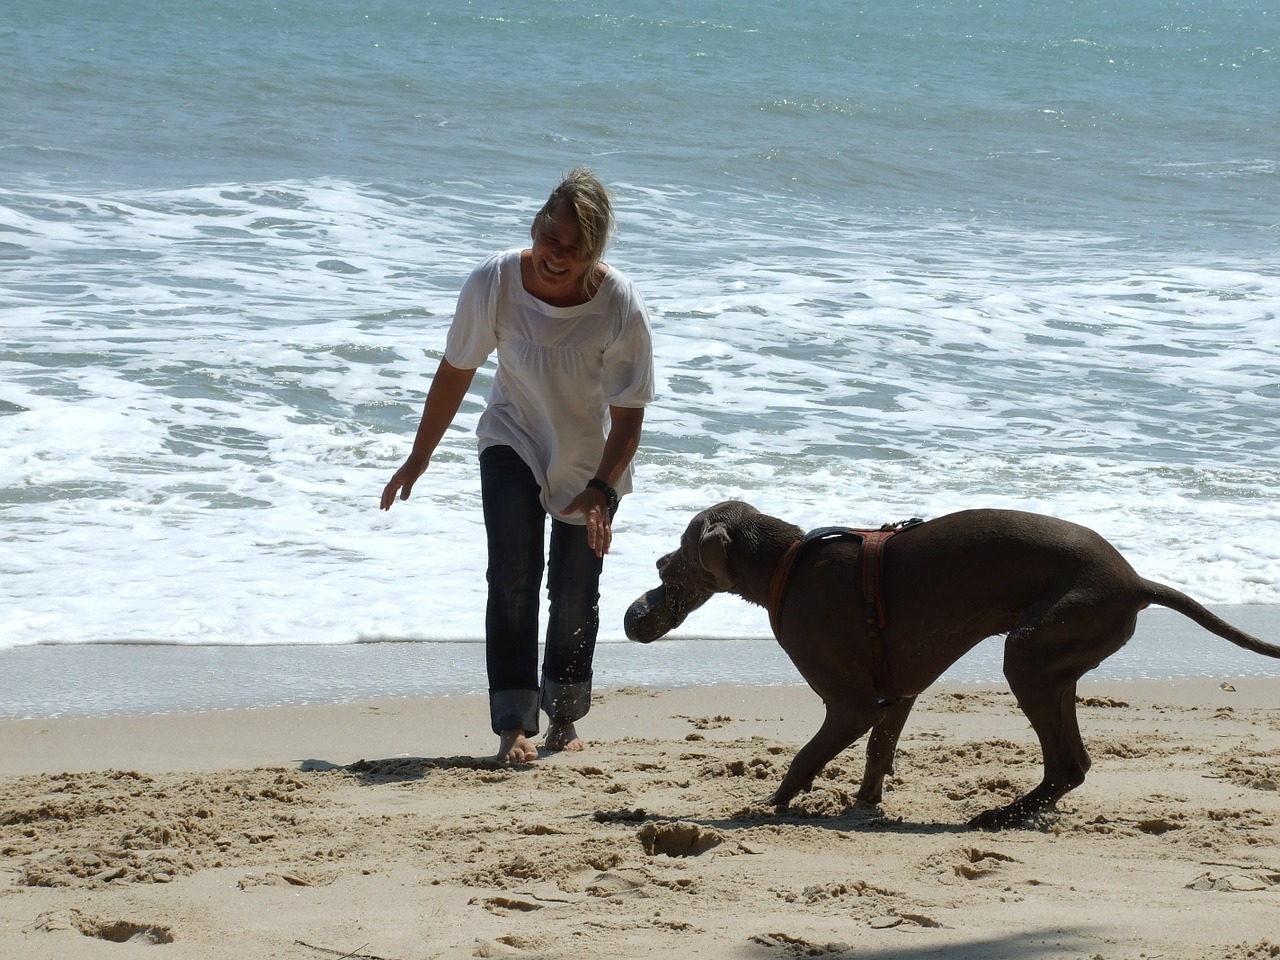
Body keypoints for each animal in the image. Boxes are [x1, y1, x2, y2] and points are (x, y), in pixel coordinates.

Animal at [622, 504, 1280, 829]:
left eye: (681, 547)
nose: (654, 564)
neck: (786, 562)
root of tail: (1136, 580)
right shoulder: (896, 693)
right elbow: (878, 753)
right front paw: (865, 804)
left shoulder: (853, 704)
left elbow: (807, 756)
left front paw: (775, 802)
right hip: (1053, 661)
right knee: (1074, 764)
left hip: (1029, 654)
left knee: (1067, 764)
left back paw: (999, 815)